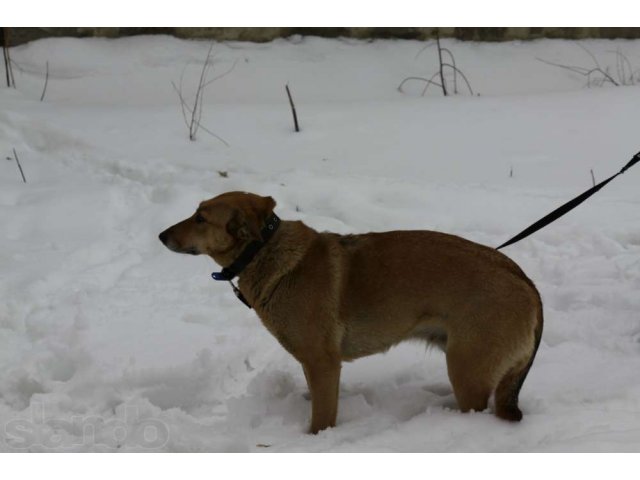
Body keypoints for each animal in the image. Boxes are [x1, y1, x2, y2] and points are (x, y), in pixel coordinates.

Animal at [158, 192, 544, 436]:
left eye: (200, 218)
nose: (161, 235)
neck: (263, 249)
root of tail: (523, 280)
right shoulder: (313, 364)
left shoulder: (323, 363)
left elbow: (322, 419)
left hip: (467, 371)